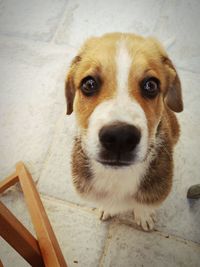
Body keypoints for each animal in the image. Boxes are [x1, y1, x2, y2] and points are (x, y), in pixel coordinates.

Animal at [65, 32, 184, 231]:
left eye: (151, 85)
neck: (117, 176)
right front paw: (107, 208)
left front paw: (144, 216)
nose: (119, 137)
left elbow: (142, 205)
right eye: (89, 84)